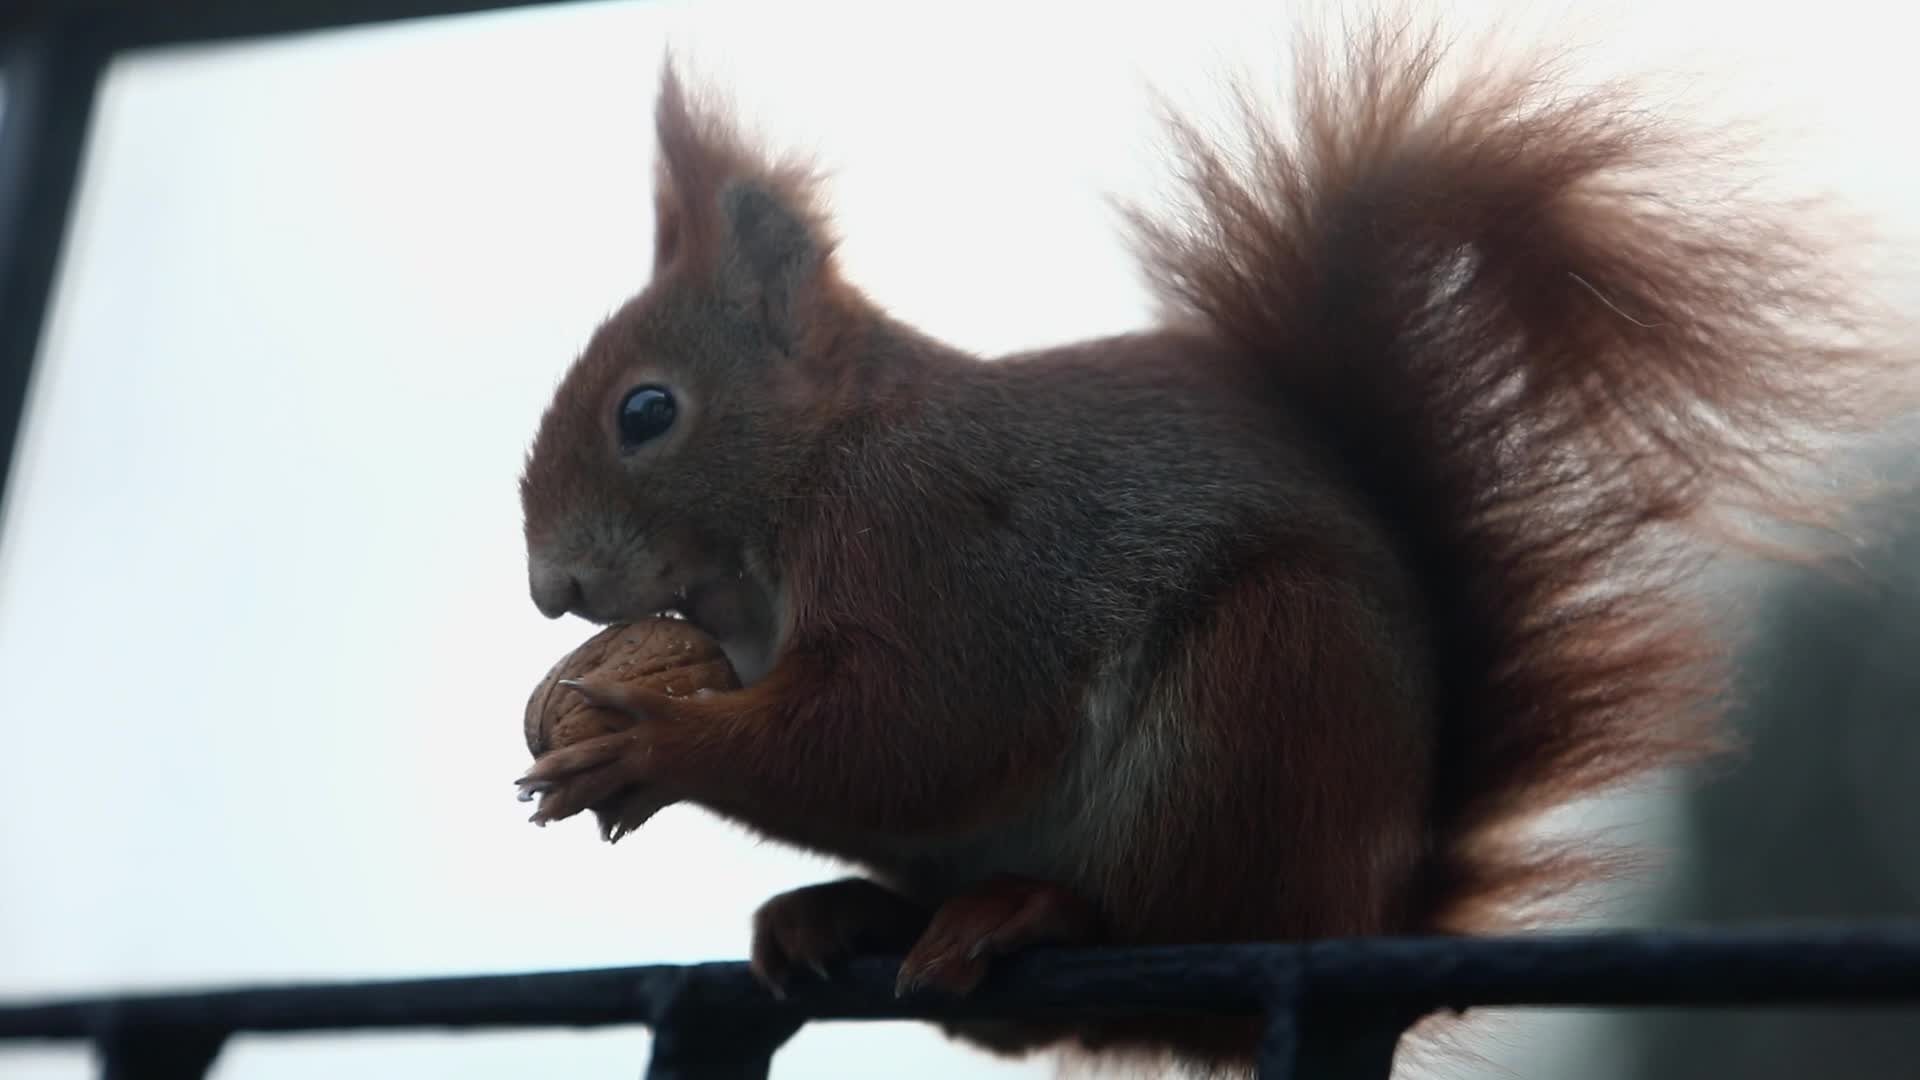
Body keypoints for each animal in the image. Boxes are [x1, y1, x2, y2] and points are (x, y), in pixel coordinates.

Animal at [512, 15, 1913, 1076]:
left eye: (648, 413)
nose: (550, 587)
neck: (812, 477)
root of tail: (1369, 909)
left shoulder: (937, 545)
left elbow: (916, 727)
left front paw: (649, 742)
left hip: (1260, 705)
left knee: (1166, 934)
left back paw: (1034, 912)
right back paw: (850, 913)